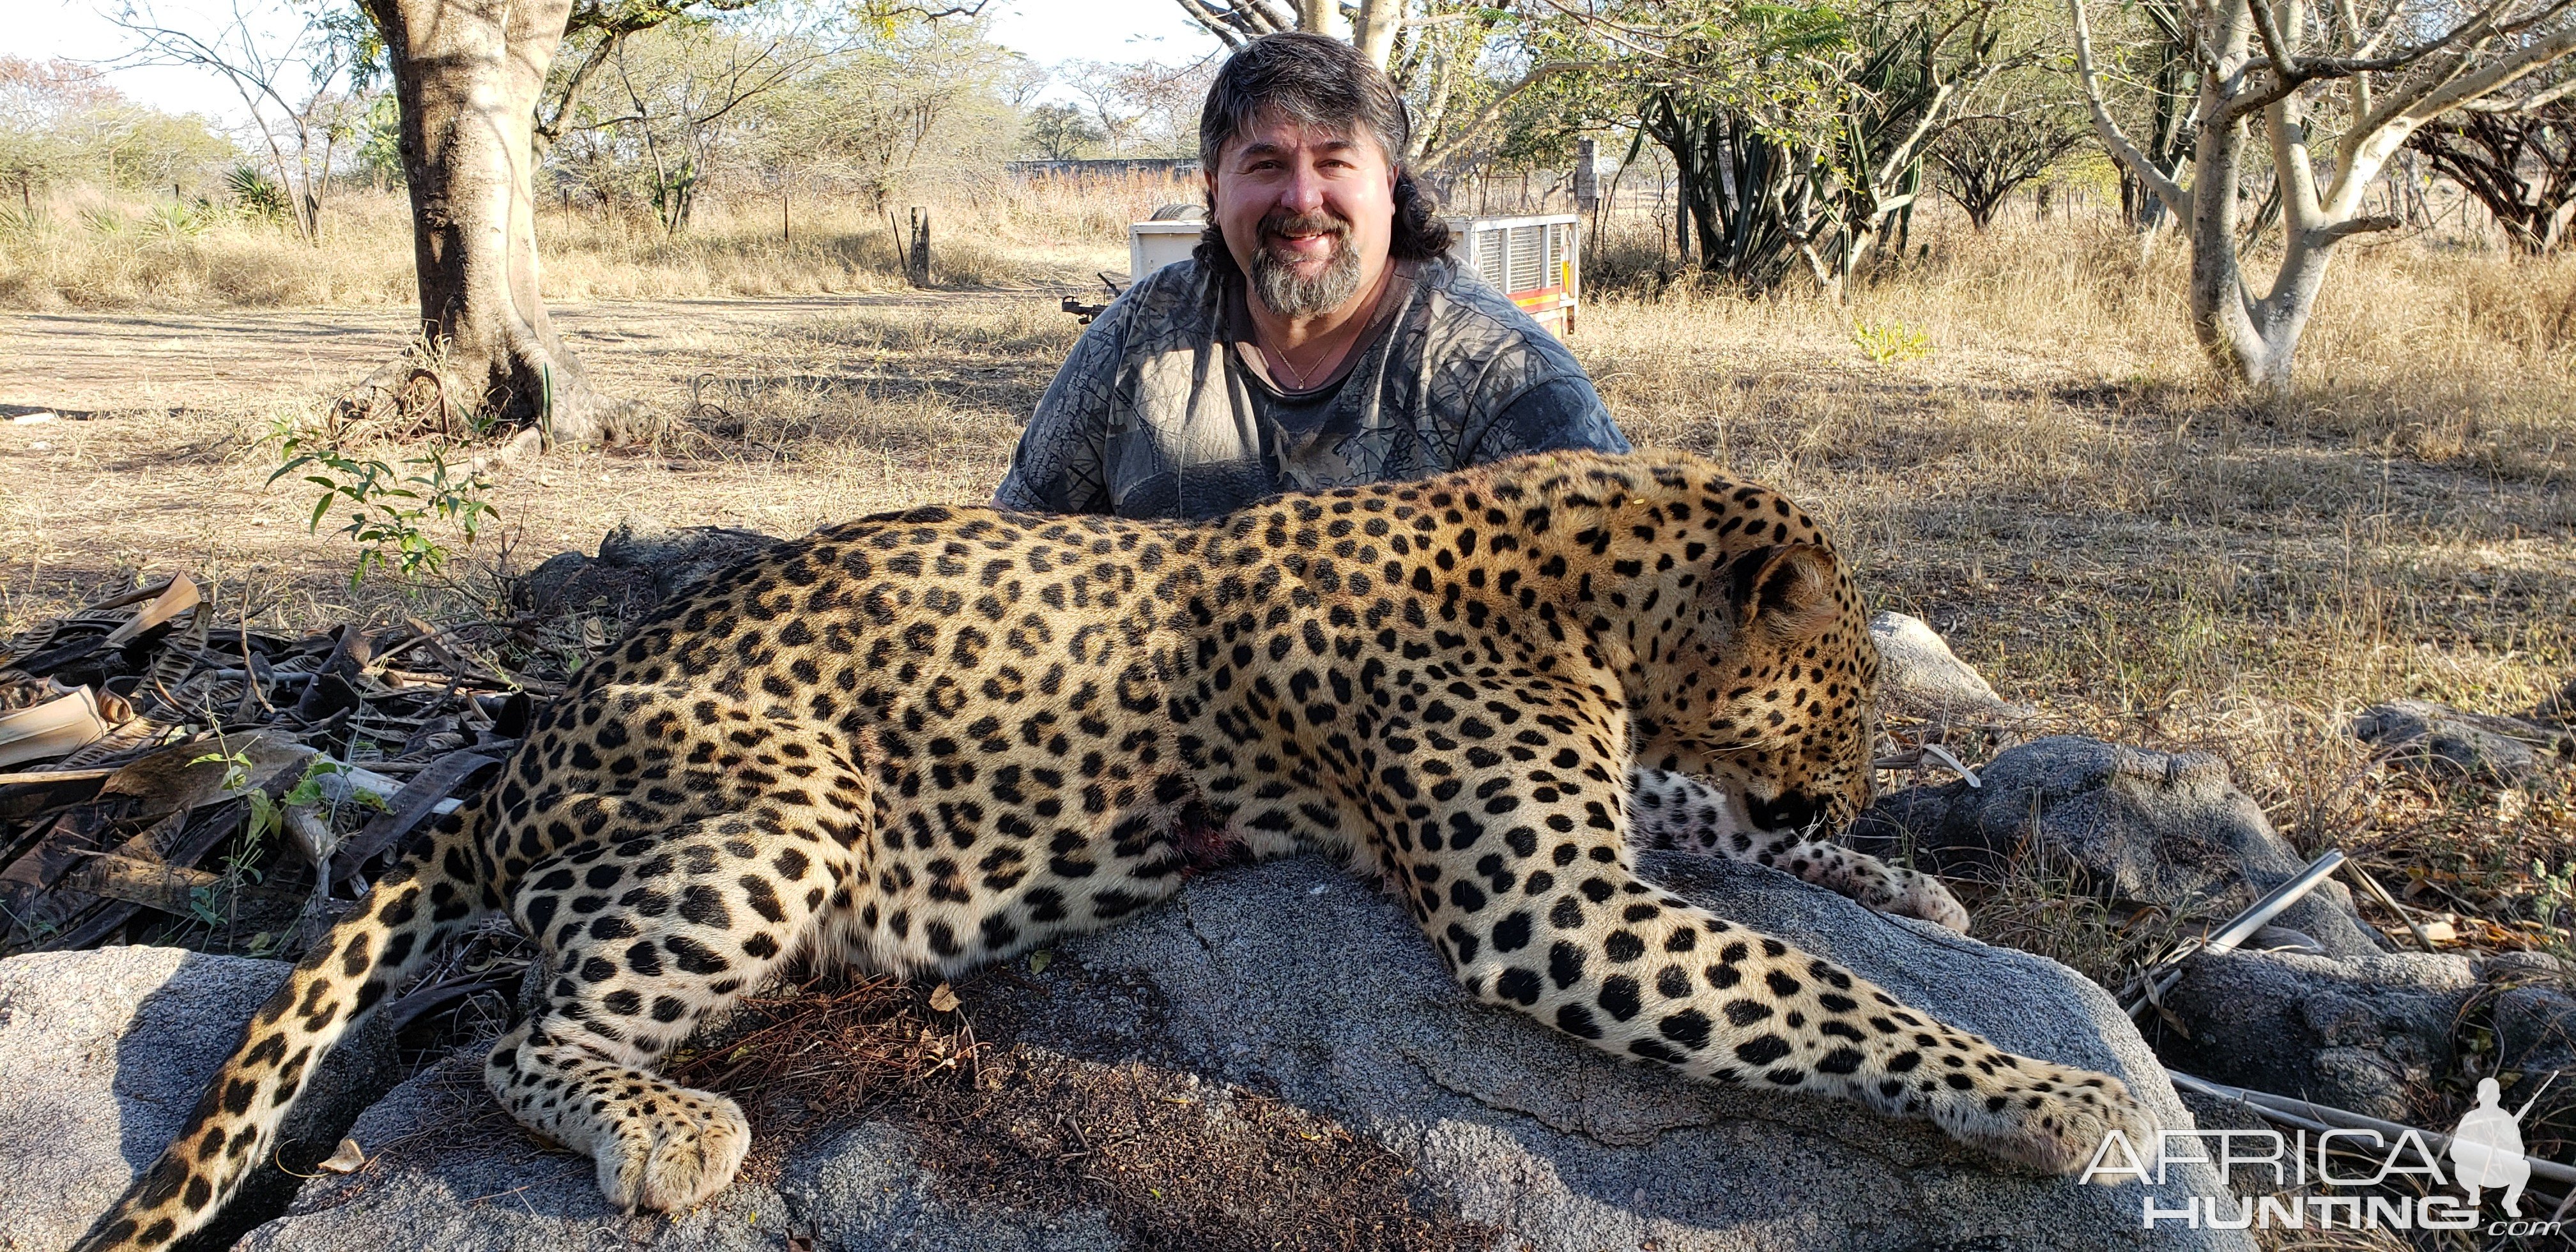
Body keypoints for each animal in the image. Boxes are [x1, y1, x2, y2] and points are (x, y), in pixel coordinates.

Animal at [75, 450, 2153, 1252]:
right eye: (1856, 682)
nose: (1872, 781)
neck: (1587, 592)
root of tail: (512, 765)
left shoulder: (1600, 822)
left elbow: (1743, 860)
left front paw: (1906, 883)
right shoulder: (1546, 894)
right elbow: (1810, 990)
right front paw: (2063, 1095)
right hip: (780, 802)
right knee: (526, 1031)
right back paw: (666, 1127)